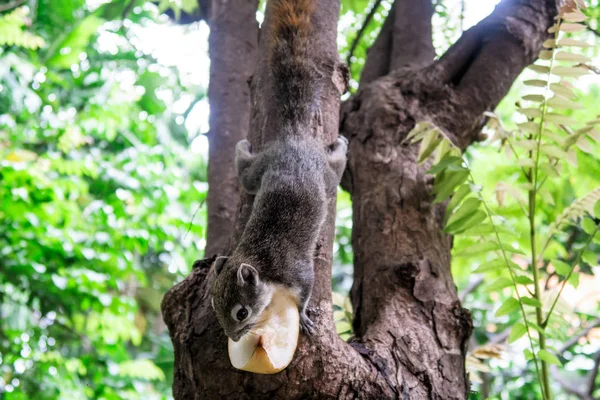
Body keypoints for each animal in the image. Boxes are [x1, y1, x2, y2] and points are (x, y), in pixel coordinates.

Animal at [210, 0, 346, 340]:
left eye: (242, 312)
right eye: (215, 307)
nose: (234, 337)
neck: (259, 258)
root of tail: (293, 139)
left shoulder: (297, 272)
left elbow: (305, 294)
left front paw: (305, 317)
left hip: (323, 175)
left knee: (335, 169)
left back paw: (341, 147)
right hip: (263, 168)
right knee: (247, 173)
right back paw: (241, 147)